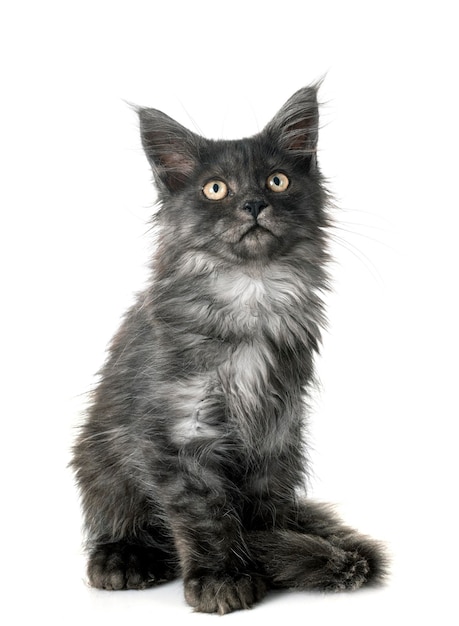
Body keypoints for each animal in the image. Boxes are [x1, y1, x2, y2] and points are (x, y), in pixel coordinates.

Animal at [72, 85, 388, 612]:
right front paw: (221, 577)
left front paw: (268, 558)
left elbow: (260, 510)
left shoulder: (276, 428)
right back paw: (124, 559)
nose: (255, 203)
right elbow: (206, 515)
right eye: (215, 189)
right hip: (99, 457)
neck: (250, 294)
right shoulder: (183, 431)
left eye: (278, 181)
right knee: (114, 517)